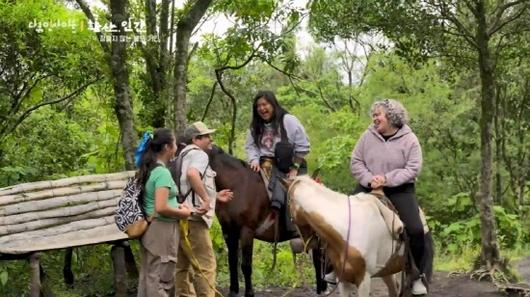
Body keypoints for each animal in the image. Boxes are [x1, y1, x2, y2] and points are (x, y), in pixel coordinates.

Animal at [207, 146, 326, 296]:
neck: (236, 185)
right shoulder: (228, 230)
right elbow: (232, 261)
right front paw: (233, 291)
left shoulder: (247, 231)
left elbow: (246, 265)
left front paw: (249, 293)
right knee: (318, 259)